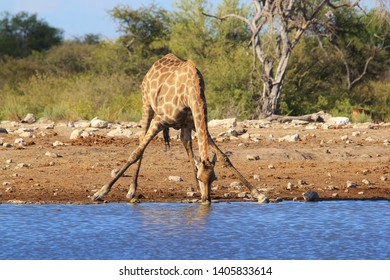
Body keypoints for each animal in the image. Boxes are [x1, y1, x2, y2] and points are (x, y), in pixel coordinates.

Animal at [92, 53, 270, 203]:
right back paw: (131, 189)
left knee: (186, 144)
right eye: (200, 178)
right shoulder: (159, 121)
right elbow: (135, 154)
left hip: (183, 126)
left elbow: (225, 158)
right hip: (146, 105)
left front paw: (259, 194)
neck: (192, 93)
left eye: (214, 179)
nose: (207, 199)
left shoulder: (196, 124)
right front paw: (100, 192)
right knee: (141, 142)